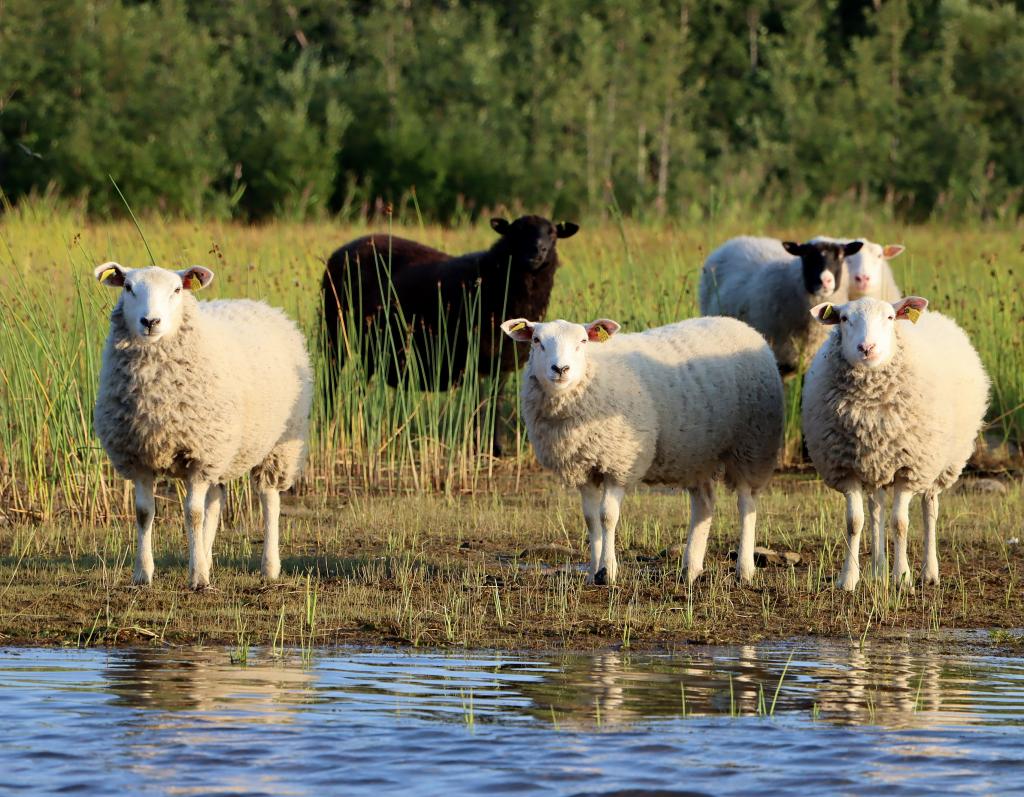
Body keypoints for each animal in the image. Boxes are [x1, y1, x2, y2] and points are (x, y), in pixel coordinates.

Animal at [95, 264, 311, 585]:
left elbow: (193, 514)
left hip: (279, 443)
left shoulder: (199, 455)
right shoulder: (140, 456)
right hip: (222, 450)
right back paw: (207, 557)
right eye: (128, 287)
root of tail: (263, 306)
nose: (150, 321)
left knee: (269, 499)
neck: (155, 397)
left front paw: (197, 577)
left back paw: (269, 567)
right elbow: (144, 513)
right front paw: (143, 574)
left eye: (176, 289)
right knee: (216, 501)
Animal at [321, 216, 577, 393]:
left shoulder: (501, 366)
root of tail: (338, 252)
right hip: (335, 334)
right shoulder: (476, 364)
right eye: (516, 232)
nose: (537, 251)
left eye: (553, 233)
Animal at [503, 313, 782, 581]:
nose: (560, 368)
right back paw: (691, 569)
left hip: (752, 446)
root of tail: (740, 324)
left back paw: (744, 569)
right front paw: (593, 571)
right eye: (536, 340)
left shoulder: (619, 463)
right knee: (704, 502)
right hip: (697, 454)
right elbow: (591, 519)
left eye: (582, 341)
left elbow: (607, 516)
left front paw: (608, 571)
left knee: (746, 503)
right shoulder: (582, 467)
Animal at [802, 295, 987, 585]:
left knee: (929, 508)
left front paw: (902, 576)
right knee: (876, 509)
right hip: (875, 464)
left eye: (889, 317)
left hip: (941, 463)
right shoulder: (846, 467)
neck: (869, 407)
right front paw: (848, 578)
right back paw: (878, 571)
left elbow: (900, 523)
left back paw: (929, 572)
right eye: (843, 318)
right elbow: (854, 522)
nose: (867, 347)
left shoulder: (909, 468)